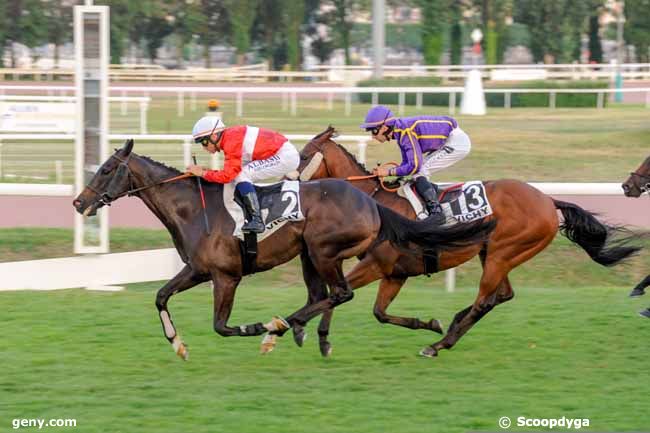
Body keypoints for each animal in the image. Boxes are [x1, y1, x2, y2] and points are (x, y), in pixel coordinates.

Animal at [72, 138, 496, 358]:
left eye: (106, 169)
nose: (78, 202)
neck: (193, 208)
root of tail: (370, 201)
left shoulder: (226, 276)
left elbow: (222, 326)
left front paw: (261, 326)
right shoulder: (197, 270)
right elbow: (160, 296)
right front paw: (176, 341)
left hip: (324, 250)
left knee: (338, 293)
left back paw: (282, 327)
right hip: (311, 254)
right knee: (323, 295)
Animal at [288, 126, 636, 356]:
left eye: (303, 155)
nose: (287, 186)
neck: (376, 203)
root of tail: (548, 200)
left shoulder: (378, 265)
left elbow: (342, 294)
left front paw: (310, 331)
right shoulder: (396, 272)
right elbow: (376, 311)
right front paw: (428, 322)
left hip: (503, 252)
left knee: (486, 300)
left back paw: (439, 344)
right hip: (495, 253)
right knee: (502, 295)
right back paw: (452, 326)